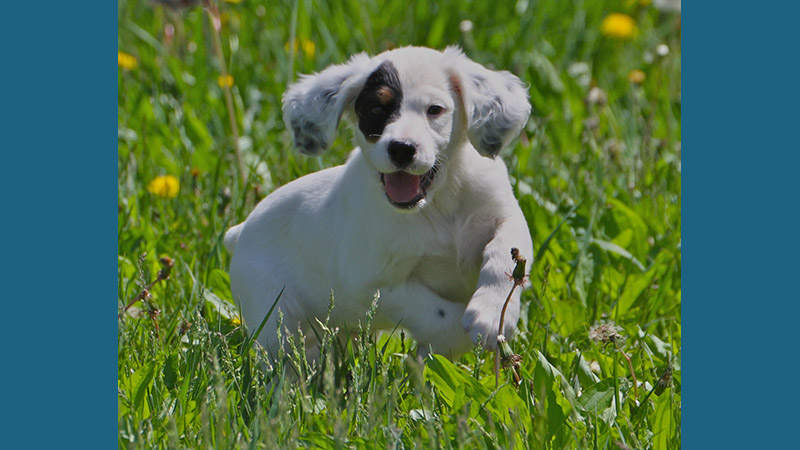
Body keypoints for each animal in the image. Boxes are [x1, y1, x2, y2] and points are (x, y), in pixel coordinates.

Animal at [227, 46, 532, 358]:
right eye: (376, 109)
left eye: (434, 110)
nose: (402, 148)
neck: (437, 204)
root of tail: (239, 232)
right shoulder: (370, 284)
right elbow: (439, 315)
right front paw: (449, 343)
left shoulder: (504, 214)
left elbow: (505, 251)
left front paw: (493, 312)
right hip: (275, 316)